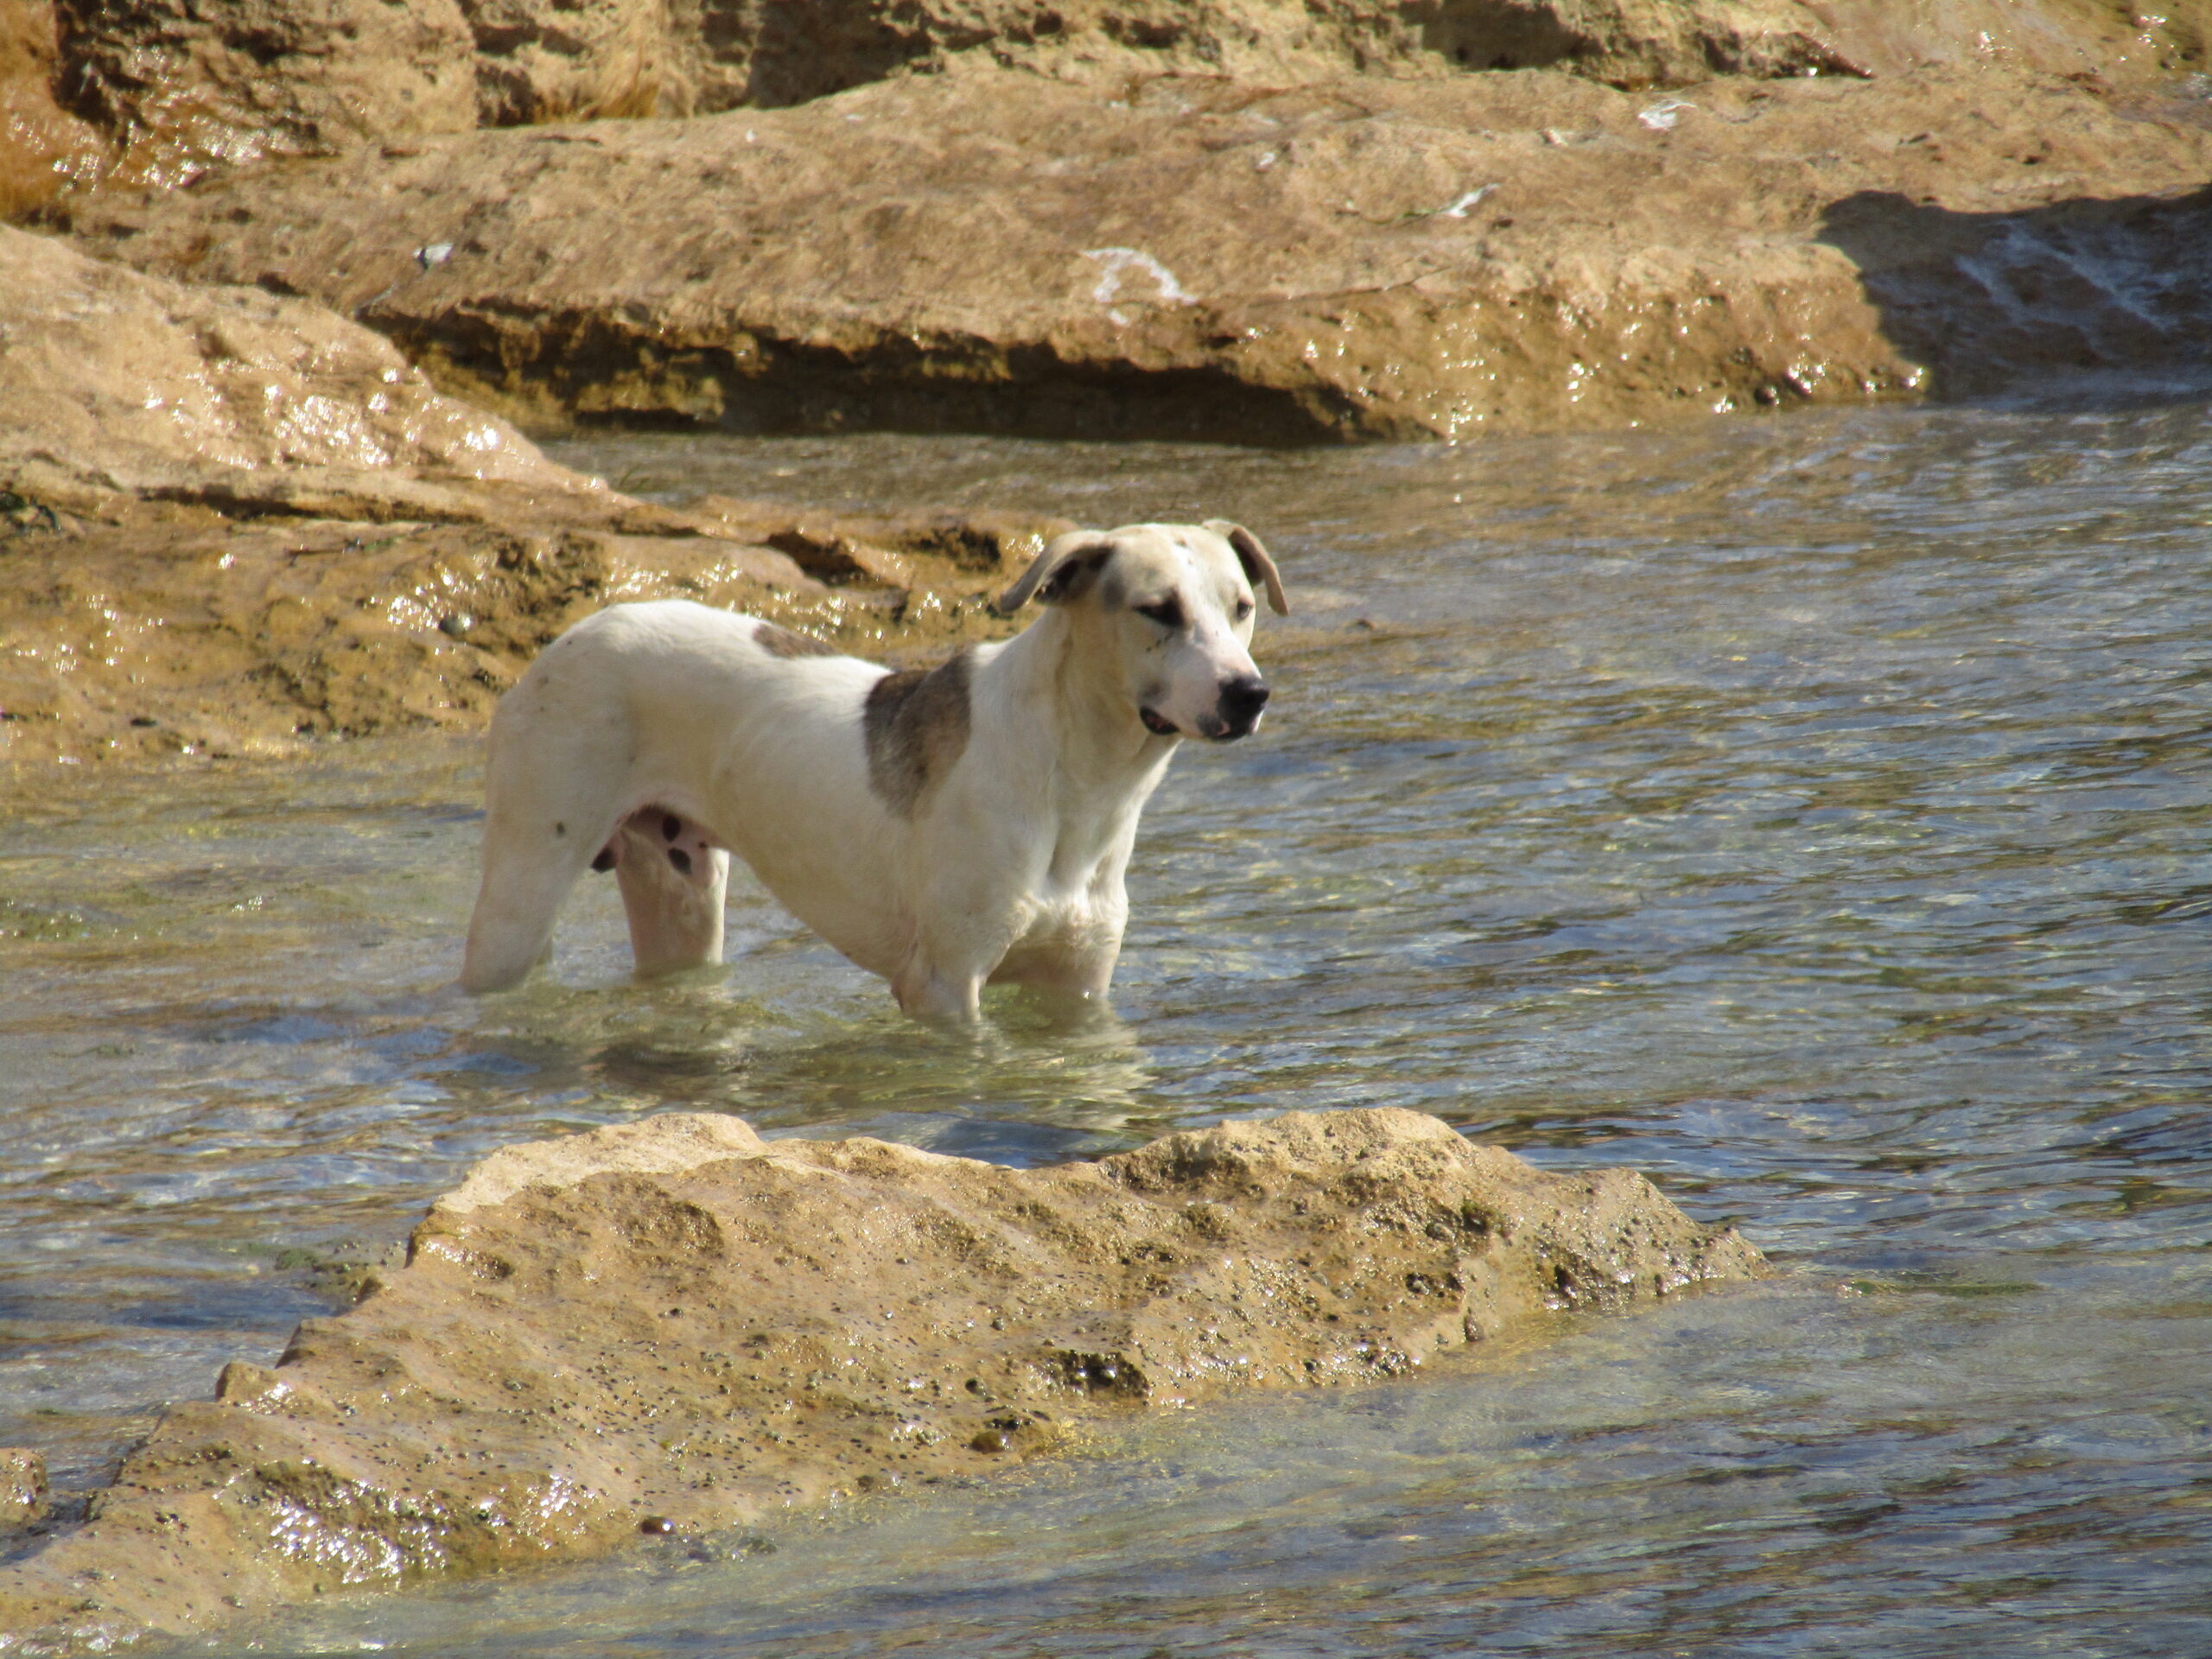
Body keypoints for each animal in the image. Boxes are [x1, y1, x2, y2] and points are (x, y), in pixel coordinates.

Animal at [464, 519, 1292, 1021]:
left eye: (1242, 607)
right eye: (1158, 609)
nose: (1249, 694)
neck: (1077, 778)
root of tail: (569, 637)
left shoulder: (1078, 989)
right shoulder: (944, 988)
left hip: (684, 898)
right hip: (518, 900)